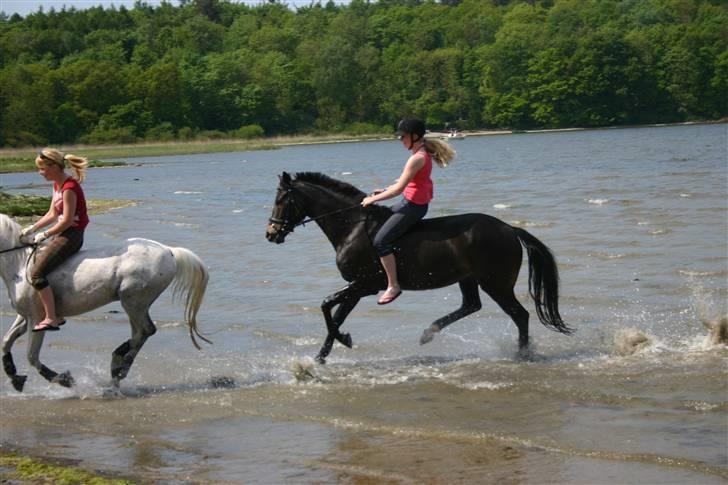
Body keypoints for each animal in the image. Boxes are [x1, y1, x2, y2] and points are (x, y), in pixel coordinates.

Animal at [0, 214, 210, 392]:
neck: (19, 265)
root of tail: (169, 251)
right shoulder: (25, 317)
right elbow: (6, 341)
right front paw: (14, 377)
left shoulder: (37, 318)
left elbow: (31, 356)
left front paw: (64, 379)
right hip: (135, 304)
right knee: (140, 333)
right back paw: (118, 368)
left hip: (133, 301)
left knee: (145, 331)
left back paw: (118, 363)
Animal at [264, 172, 572, 362]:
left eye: (281, 200)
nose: (271, 234)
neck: (352, 228)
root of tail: (509, 229)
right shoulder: (357, 287)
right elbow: (335, 316)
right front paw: (320, 358)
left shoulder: (364, 285)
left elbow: (327, 305)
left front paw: (339, 344)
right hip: (469, 278)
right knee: (472, 305)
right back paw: (428, 334)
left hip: (495, 283)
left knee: (520, 315)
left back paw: (522, 355)